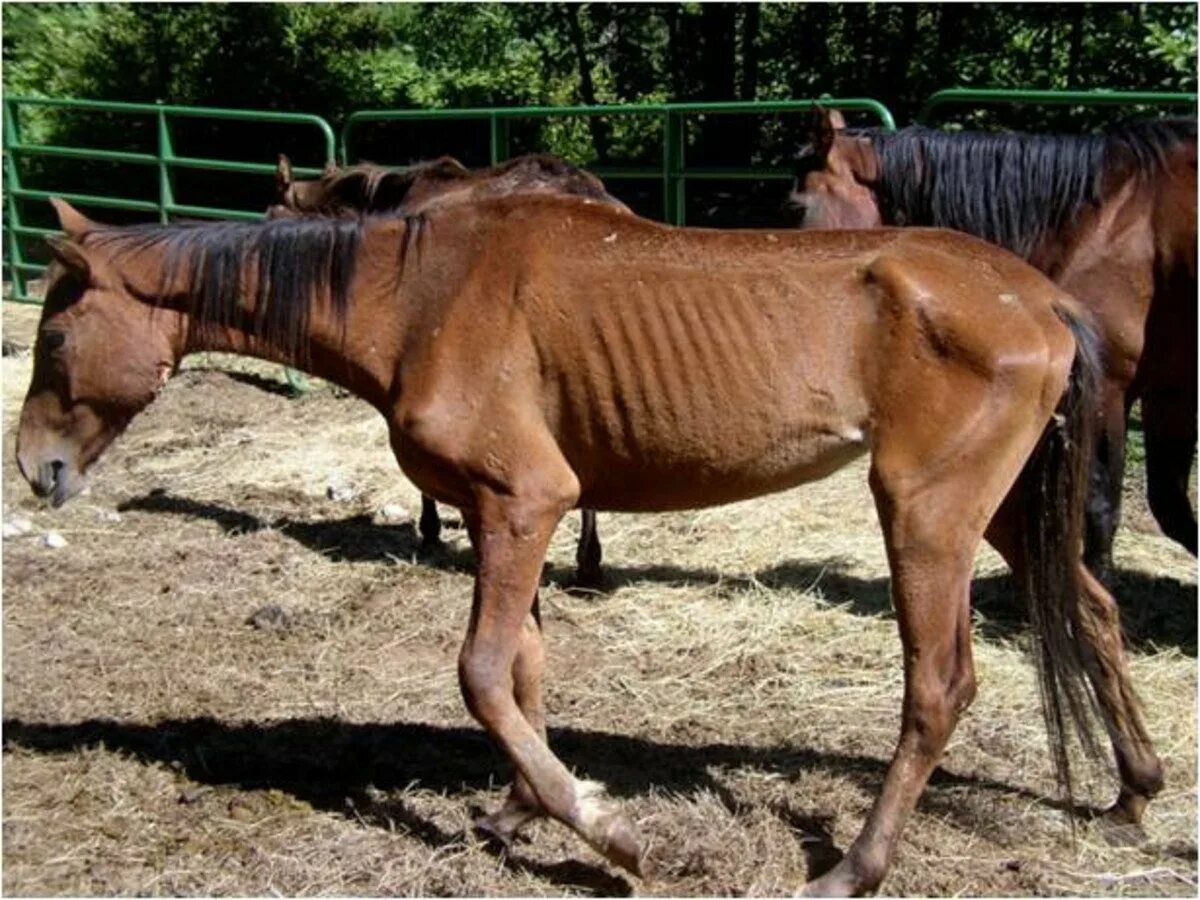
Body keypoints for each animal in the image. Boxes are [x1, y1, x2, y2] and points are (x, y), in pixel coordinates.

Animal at [792, 111, 1195, 585]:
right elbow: (1171, 506)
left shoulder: (1113, 391)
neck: (1106, 220)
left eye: (797, 206)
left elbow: (1102, 508)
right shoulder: (1169, 391)